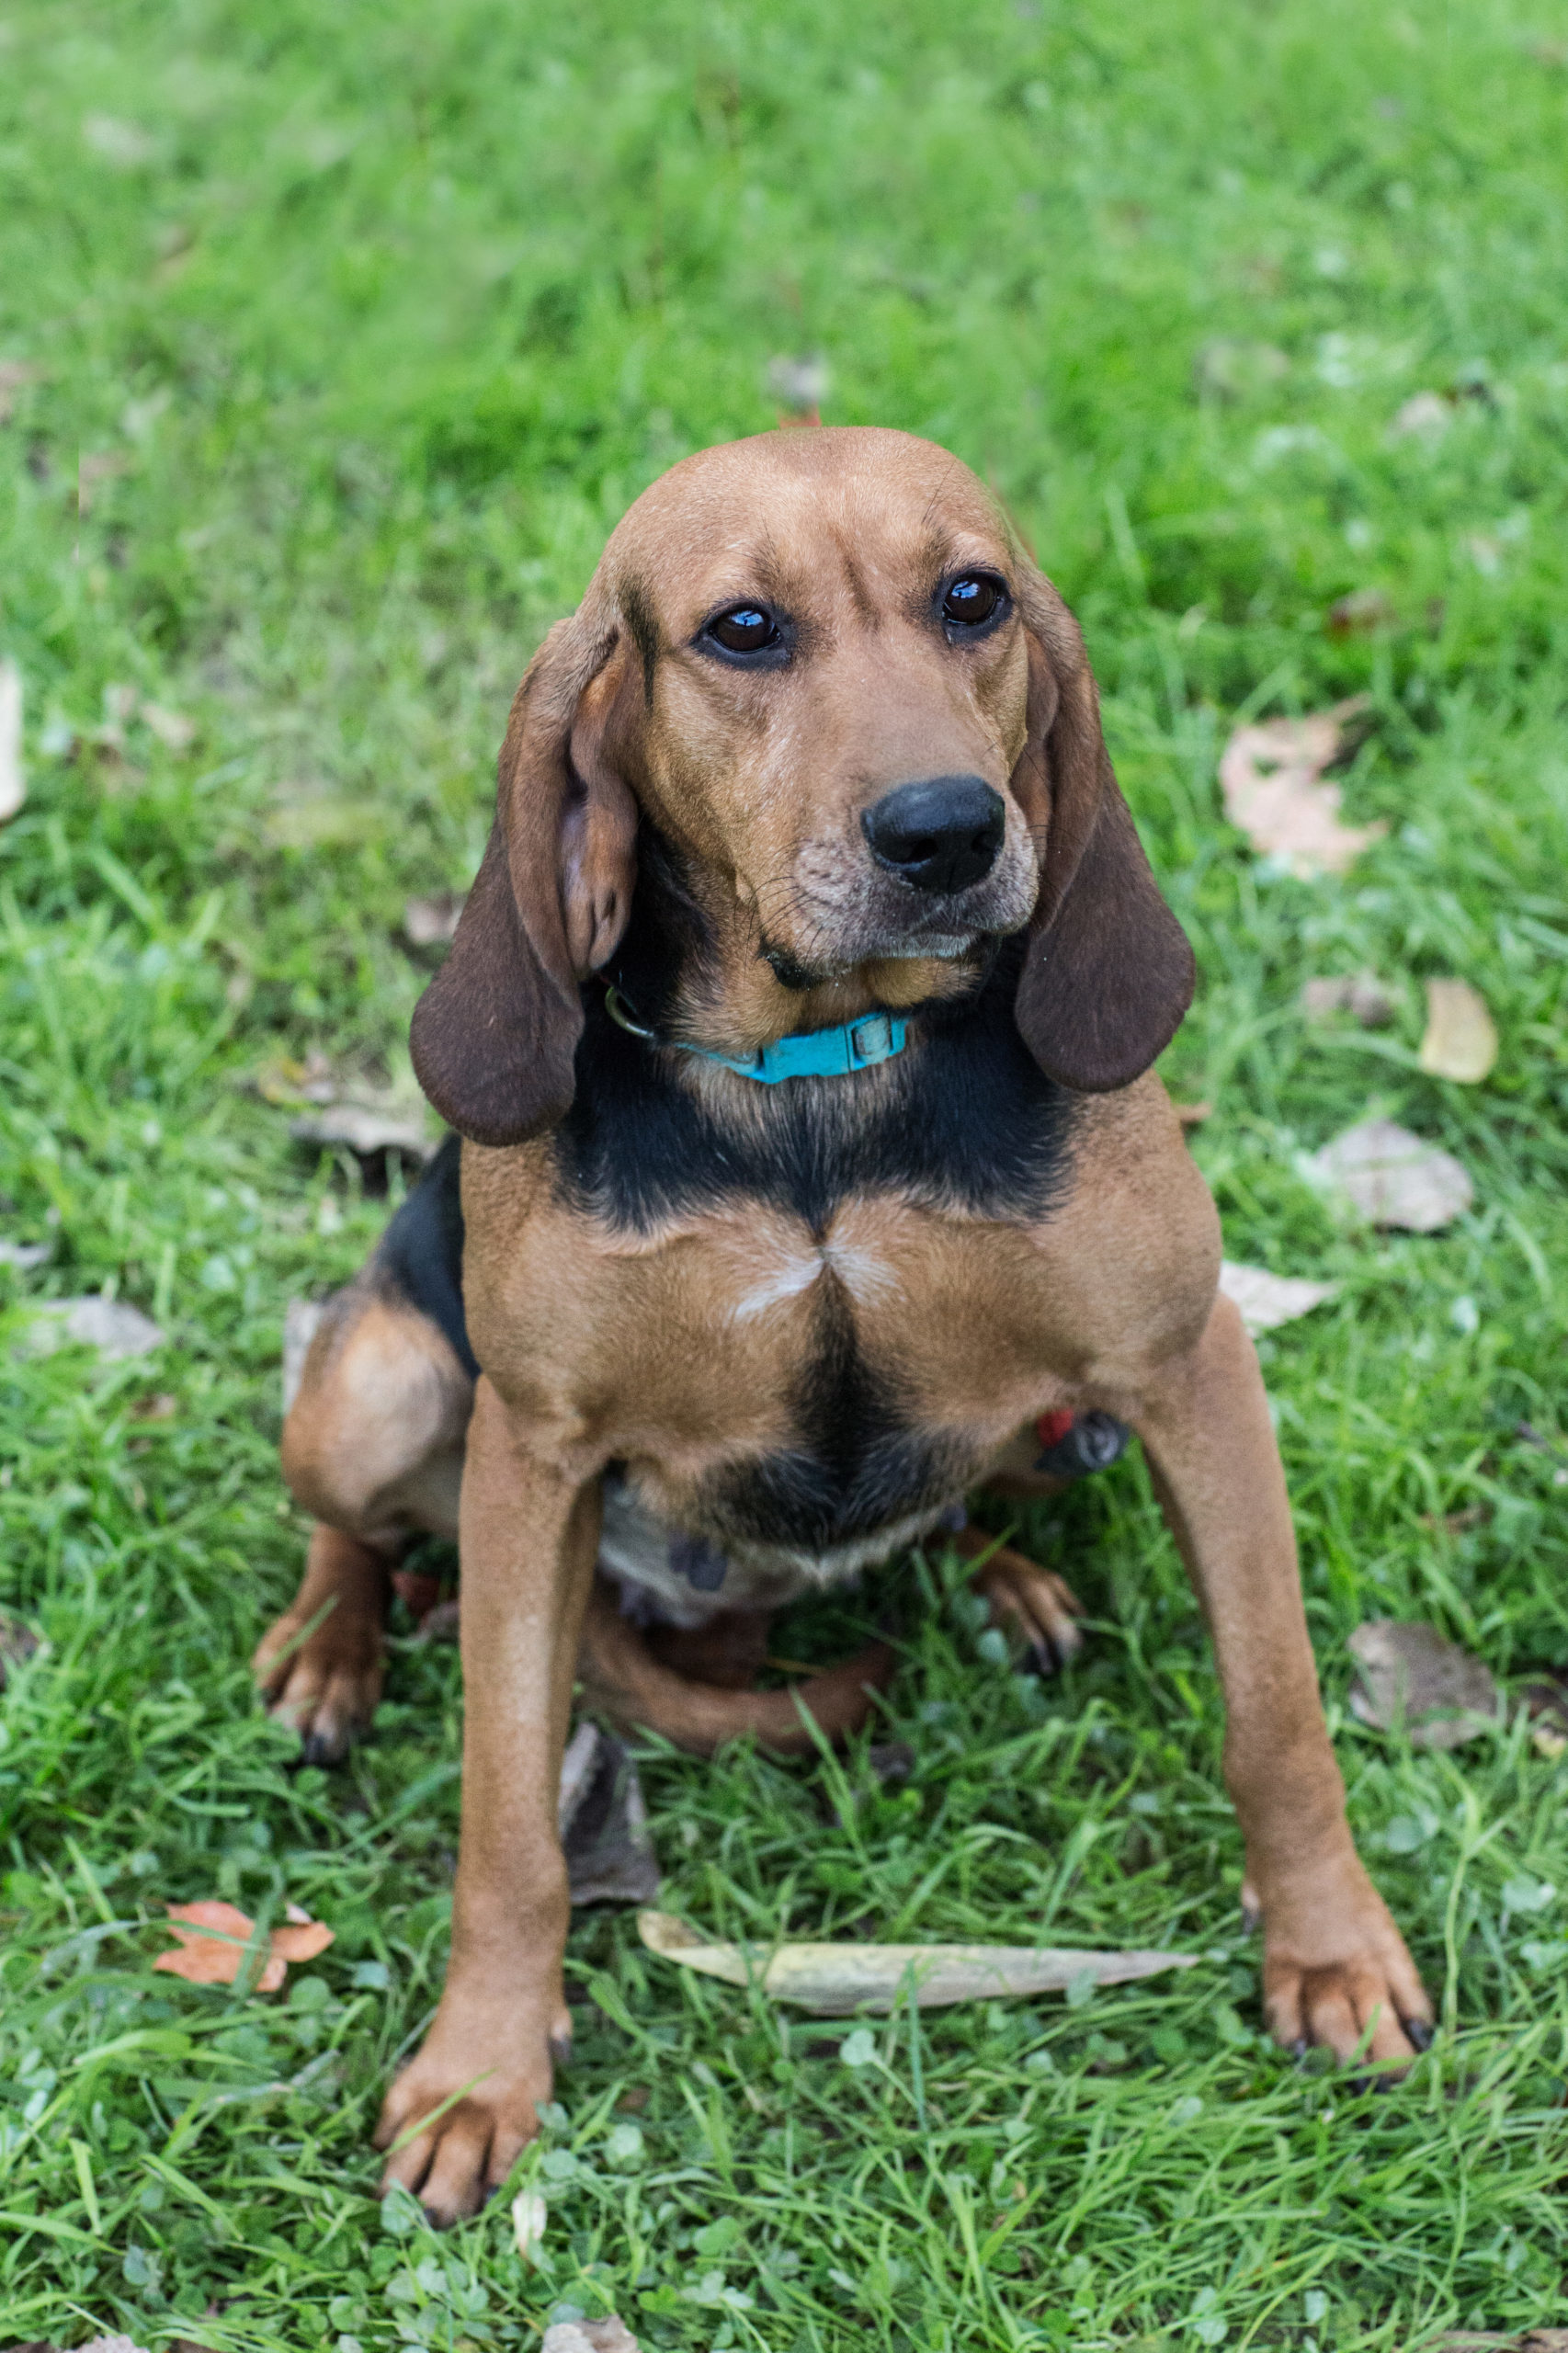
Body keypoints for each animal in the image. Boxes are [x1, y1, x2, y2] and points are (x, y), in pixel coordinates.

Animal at [258, 427, 1431, 2221]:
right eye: (742, 631)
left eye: (975, 599)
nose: (947, 831)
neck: (823, 1075)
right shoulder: (532, 1457)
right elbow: (508, 1827)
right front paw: (479, 2072)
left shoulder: (1187, 1366)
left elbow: (1279, 1718)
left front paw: (1331, 1953)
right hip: (379, 1383)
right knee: (360, 1523)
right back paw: (330, 1651)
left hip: (1070, 1430)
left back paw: (1005, 1582)